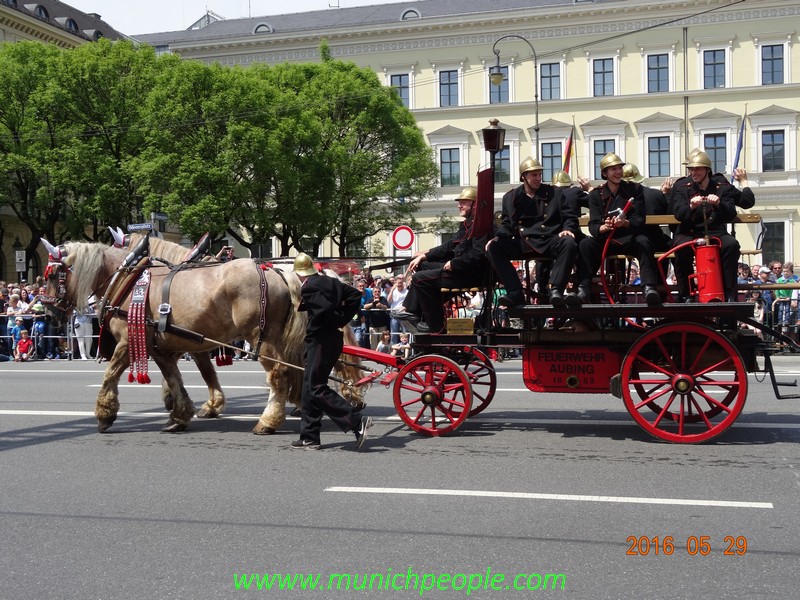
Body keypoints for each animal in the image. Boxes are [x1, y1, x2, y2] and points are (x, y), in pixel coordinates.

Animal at [40, 241, 310, 434]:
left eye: (52, 275)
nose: (49, 311)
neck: (129, 281)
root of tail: (275, 271)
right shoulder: (163, 347)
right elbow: (176, 378)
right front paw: (180, 414)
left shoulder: (127, 342)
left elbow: (110, 375)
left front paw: (105, 414)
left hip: (260, 337)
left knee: (278, 374)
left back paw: (269, 420)